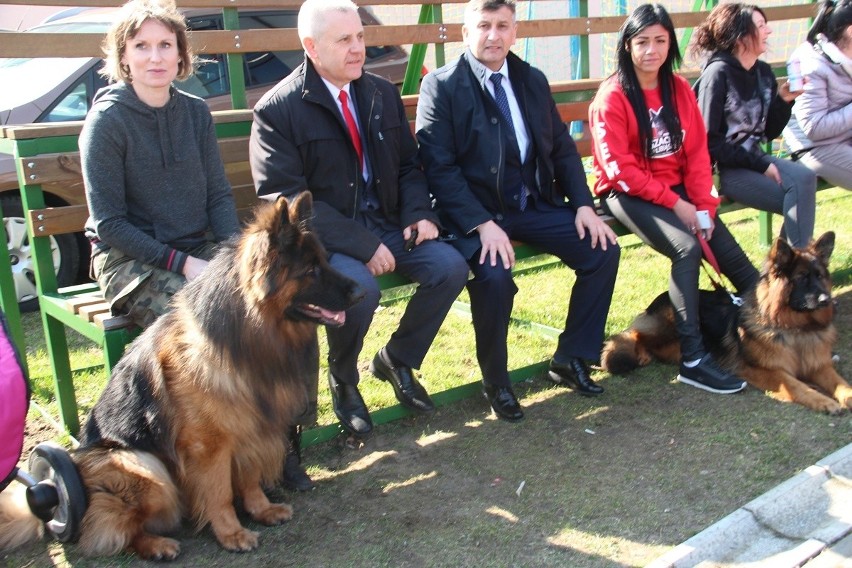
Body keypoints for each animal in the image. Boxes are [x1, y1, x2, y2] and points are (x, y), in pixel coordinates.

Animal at [0, 194, 362, 560]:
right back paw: (156, 544)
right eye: (311, 270)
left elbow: (248, 479)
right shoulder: (208, 446)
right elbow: (219, 493)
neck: (247, 335)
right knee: (116, 529)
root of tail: (62, 491)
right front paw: (231, 533)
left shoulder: (249, 428)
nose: (360, 292)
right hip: (145, 466)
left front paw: (261, 510)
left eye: (324, 260)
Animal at [604, 233, 848, 414]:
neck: (794, 328)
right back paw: (641, 353)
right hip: (667, 327)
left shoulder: (818, 365)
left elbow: (841, 382)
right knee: (635, 334)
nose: (828, 301)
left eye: (819, 276)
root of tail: (662, 297)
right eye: (801, 278)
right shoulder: (763, 369)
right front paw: (824, 401)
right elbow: (798, 386)